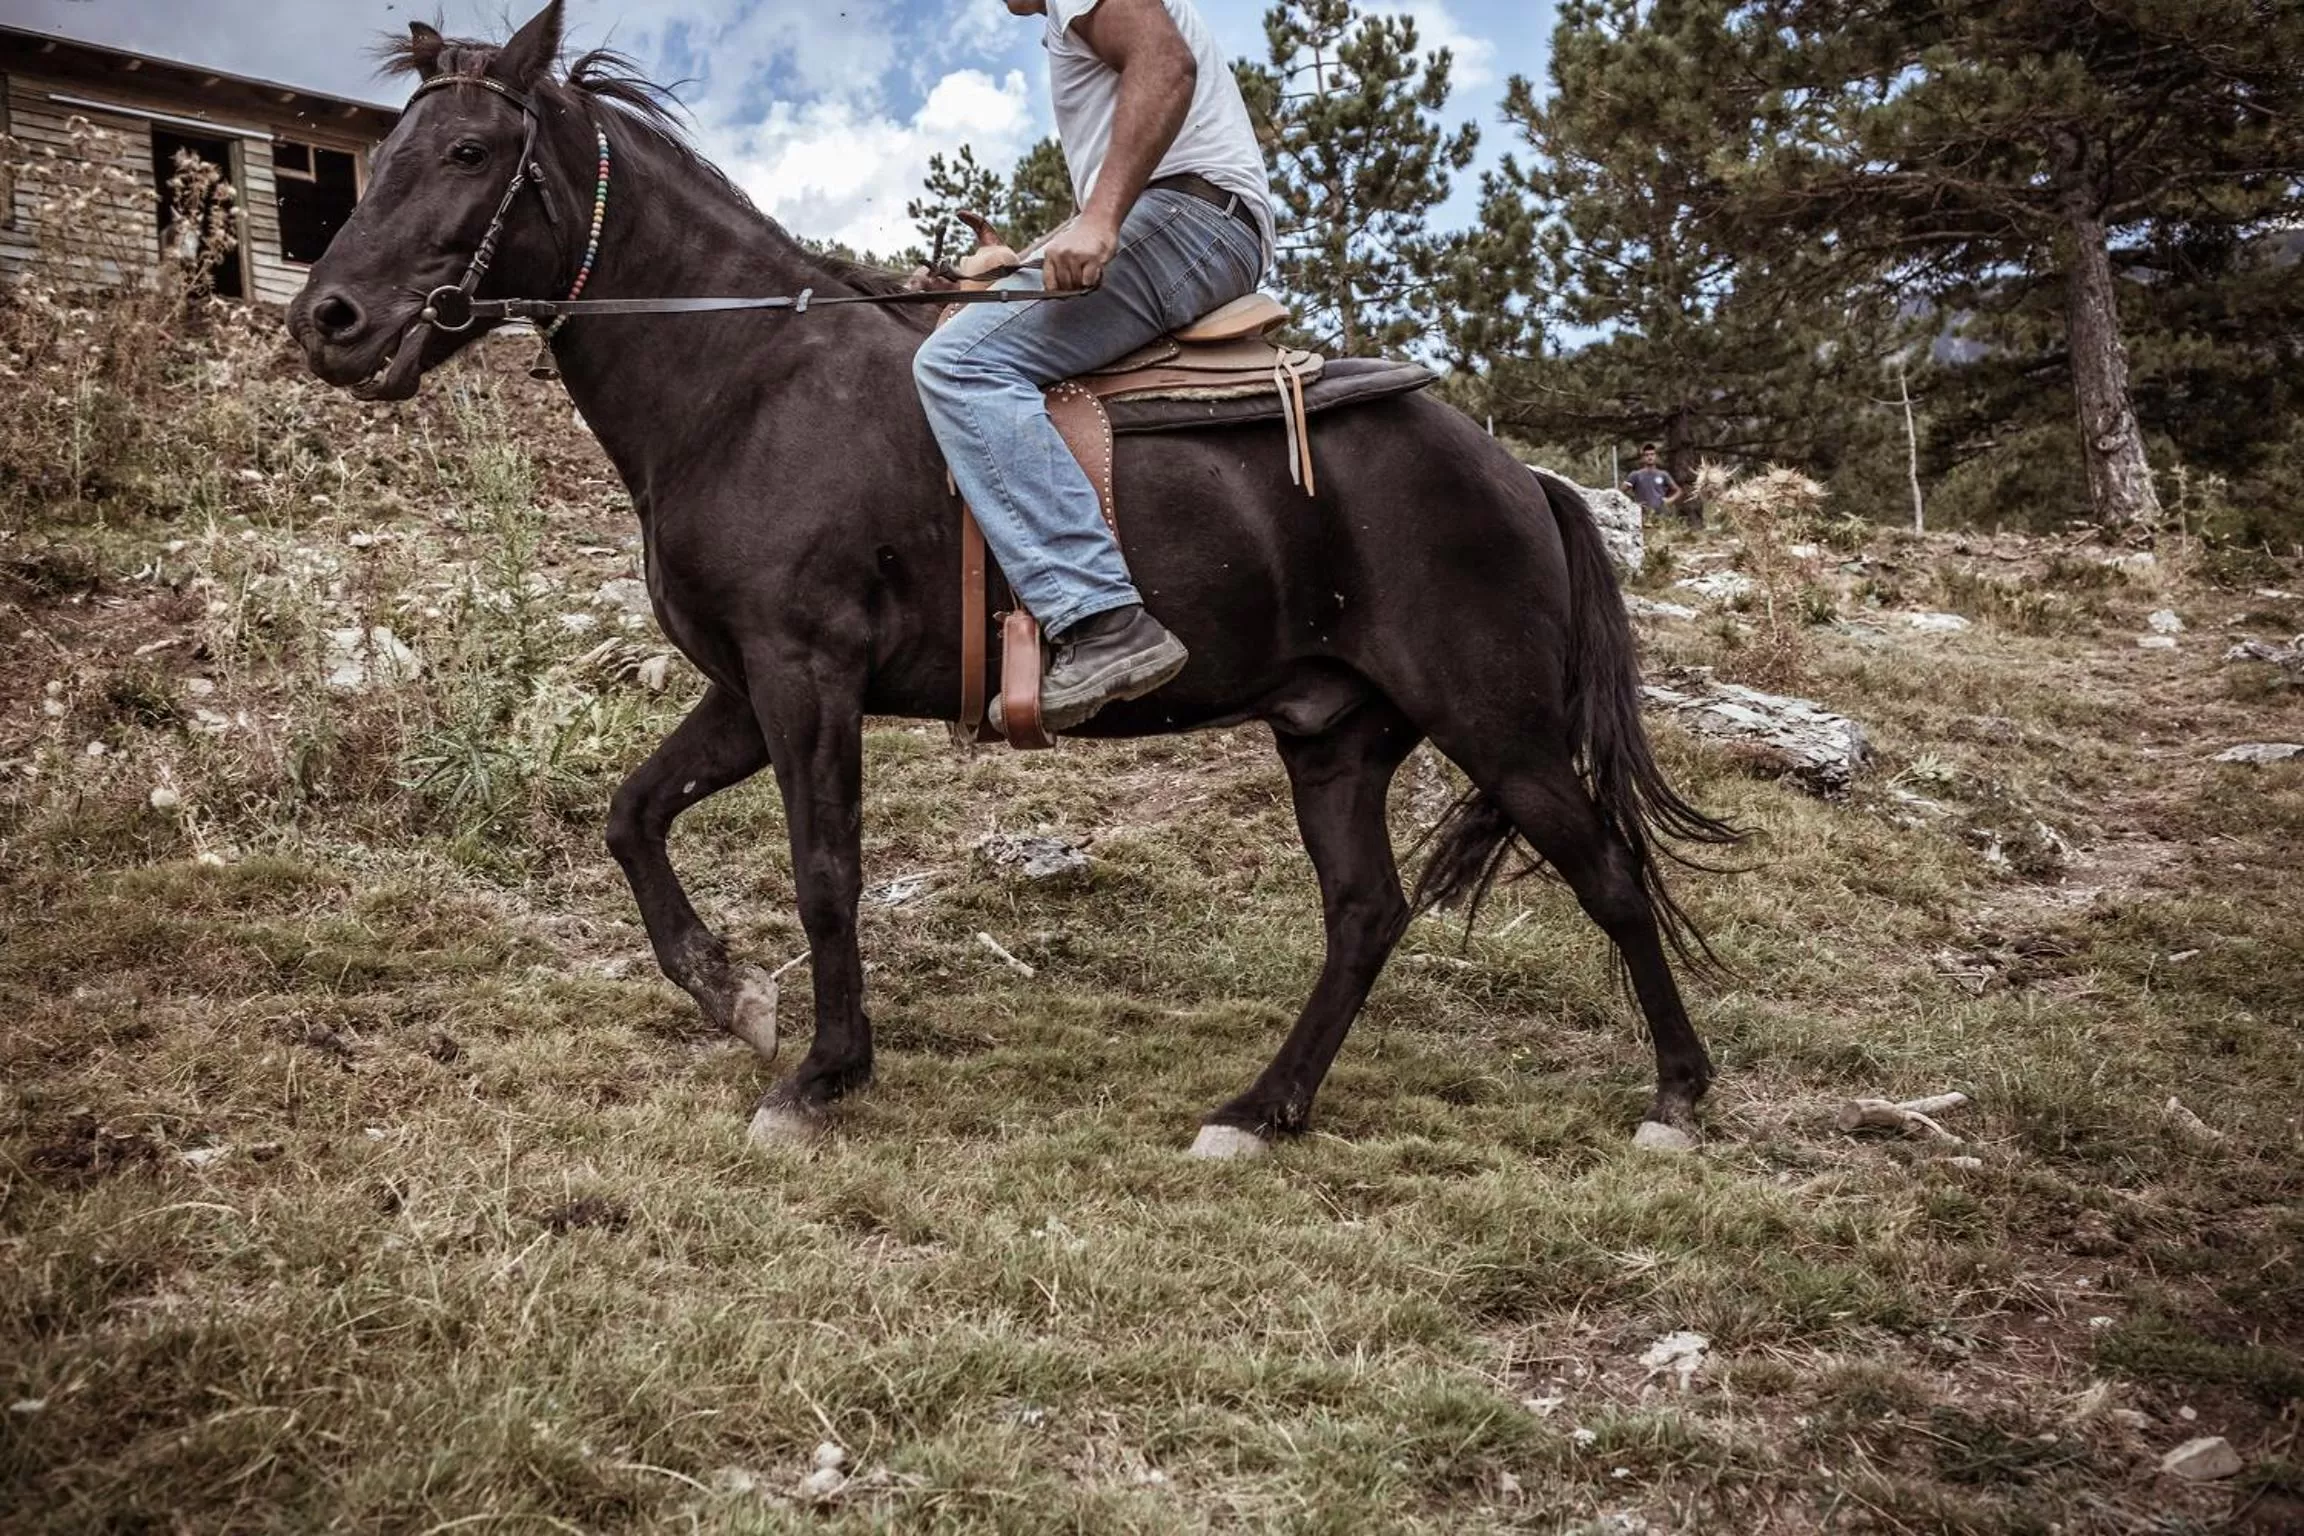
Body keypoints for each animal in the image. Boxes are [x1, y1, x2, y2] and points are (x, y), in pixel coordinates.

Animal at [285, 1, 1740, 1159]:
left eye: (468, 153)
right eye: (387, 154)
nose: (326, 320)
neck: (745, 382)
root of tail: (1518, 475)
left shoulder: (807, 675)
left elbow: (825, 870)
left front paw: (821, 1073)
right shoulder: (748, 689)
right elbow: (632, 816)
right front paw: (727, 990)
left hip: (1500, 724)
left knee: (1608, 873)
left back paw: (1676, 1096)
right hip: (1335, 735)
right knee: (1365, 915)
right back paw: (1260, 1109)